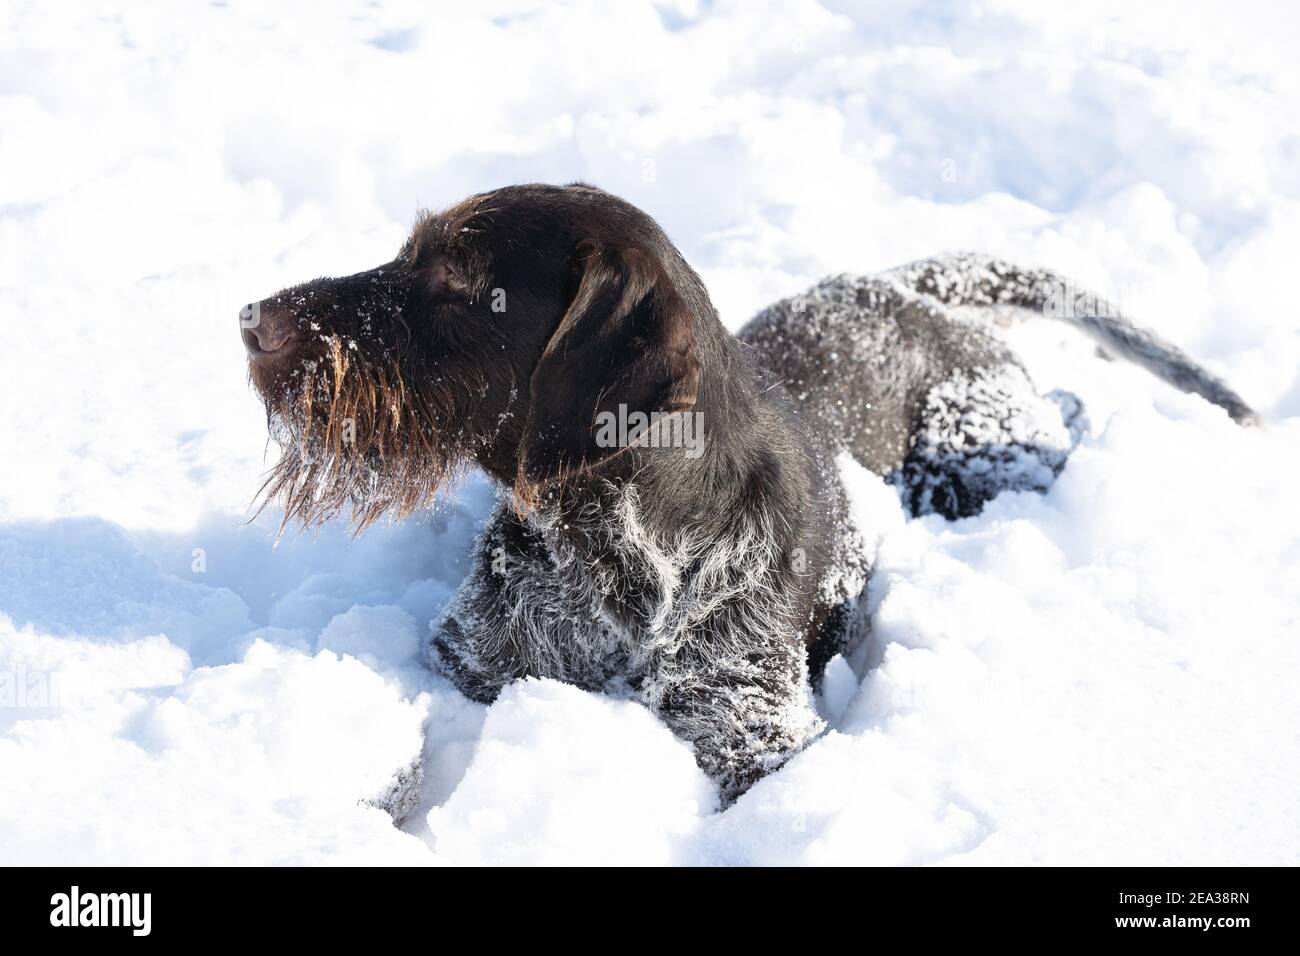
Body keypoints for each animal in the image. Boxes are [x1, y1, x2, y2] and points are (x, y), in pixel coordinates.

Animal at [244, 183, 1258, 806]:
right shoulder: (469, 666)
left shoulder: (746, 722)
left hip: (979, 456)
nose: (252, 319)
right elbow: (404, 754)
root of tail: (890, 284)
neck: (617, 538)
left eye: (459, 278)